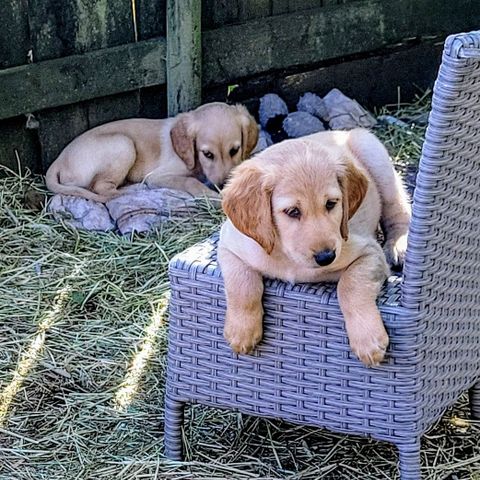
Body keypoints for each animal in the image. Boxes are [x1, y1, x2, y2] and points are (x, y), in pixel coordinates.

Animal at [219, 129, 410, 366]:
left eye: (331, 204)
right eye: (292, 211)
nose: (326, 257)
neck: (288, 257)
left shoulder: (369, 251)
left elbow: (350, 286)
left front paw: (368, 339)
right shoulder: (228, 244)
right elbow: (242, 283)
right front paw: (242, 331)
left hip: (376, 157)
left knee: (399, 211)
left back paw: (399, 245)